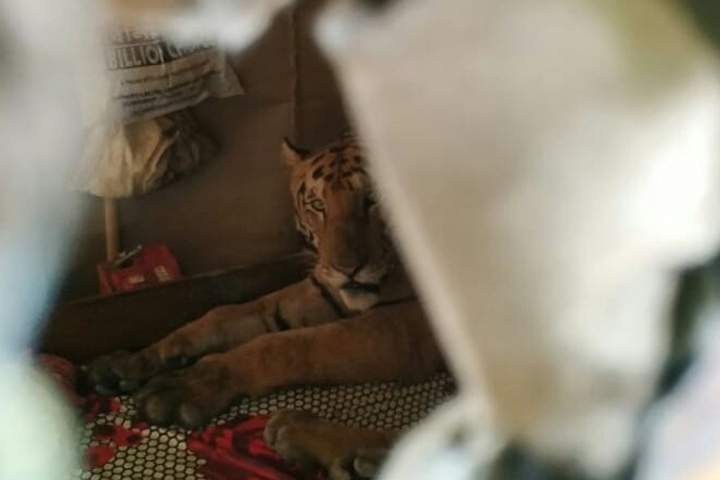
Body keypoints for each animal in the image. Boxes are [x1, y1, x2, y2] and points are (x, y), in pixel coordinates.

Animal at [87, 135, 444, 453]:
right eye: (318, 205)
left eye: (374, 198)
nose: (347, 269)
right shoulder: (322, 291)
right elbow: (228, 315)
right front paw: (129, 363)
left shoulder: (406, 326)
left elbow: (284, 345)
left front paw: (185, 387)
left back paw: (311, 440)